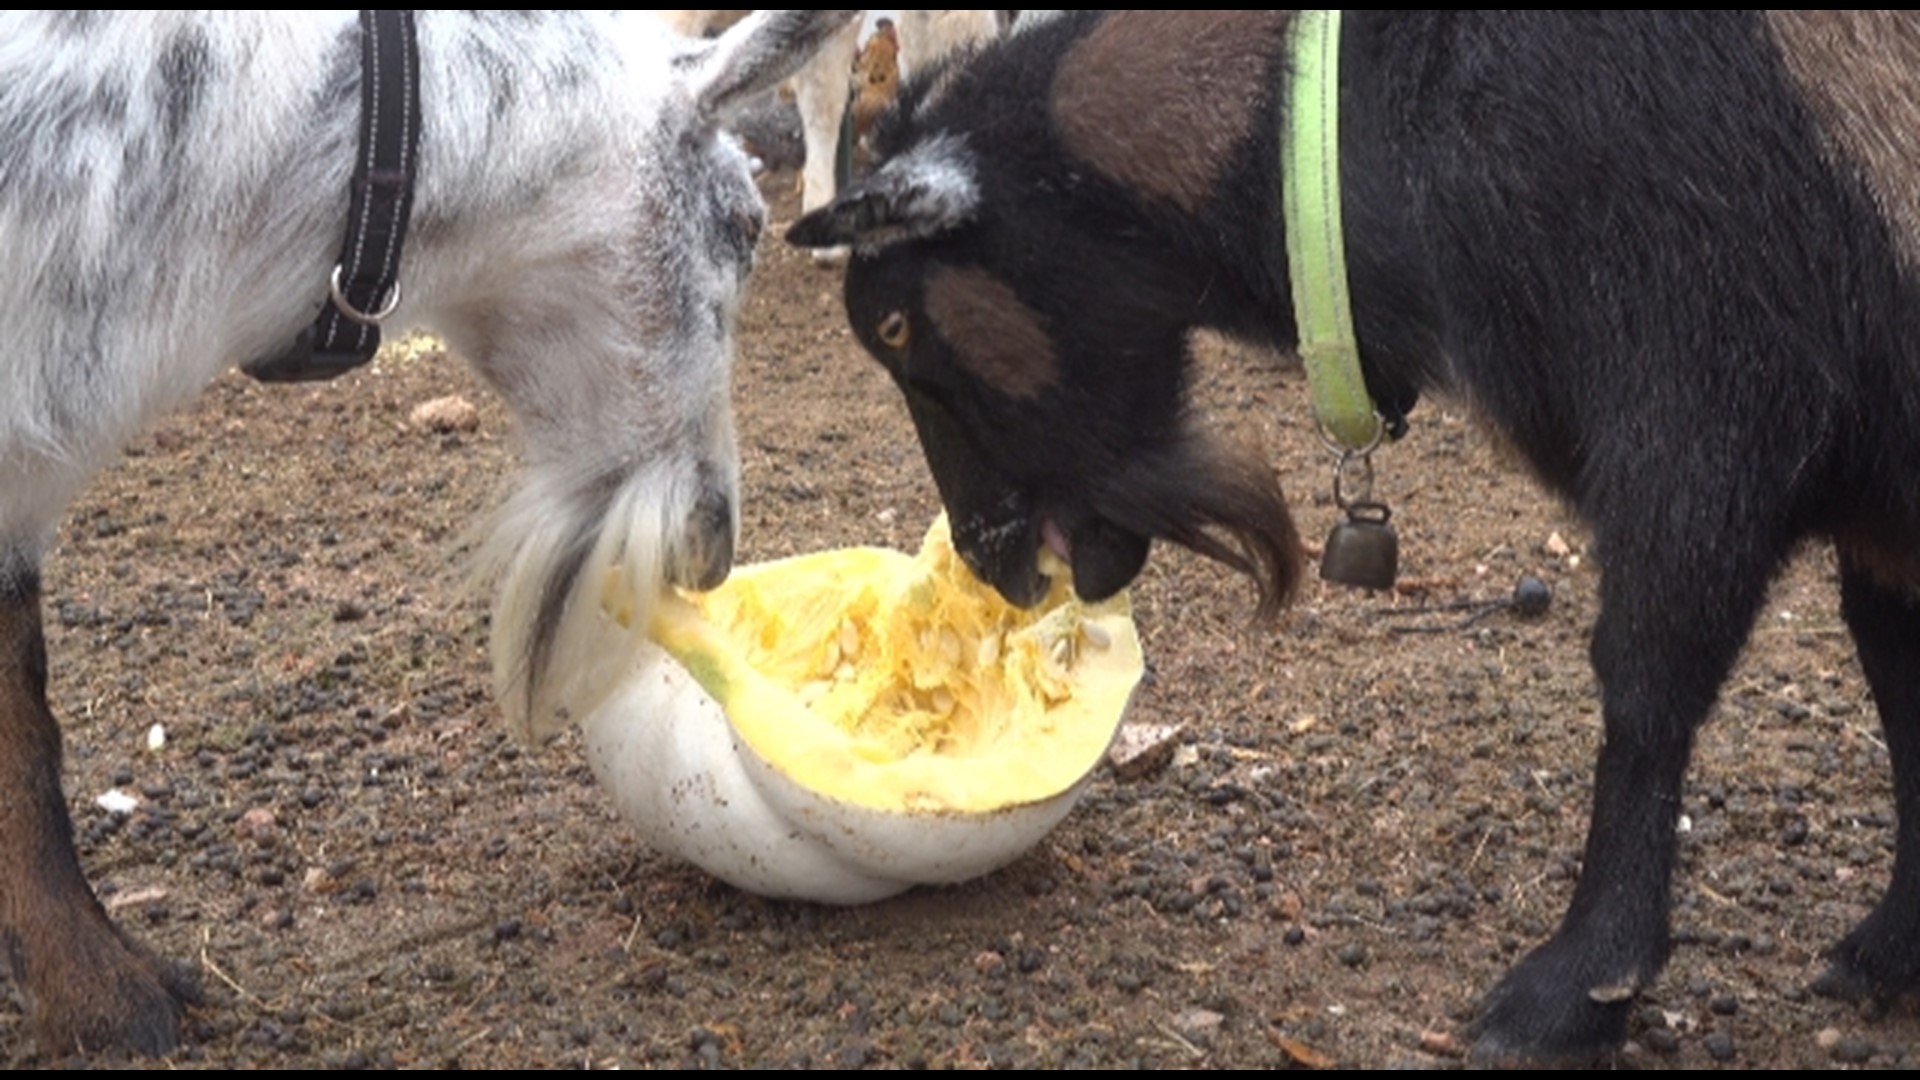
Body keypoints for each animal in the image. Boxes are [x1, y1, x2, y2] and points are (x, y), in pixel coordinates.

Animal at [791, 10, 1920, 1060]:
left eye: (895, 323)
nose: (993, 561)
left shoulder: (1703, 405)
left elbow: (1646, 687)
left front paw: (1577, 988)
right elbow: (1897, 687)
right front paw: (1891, 948)